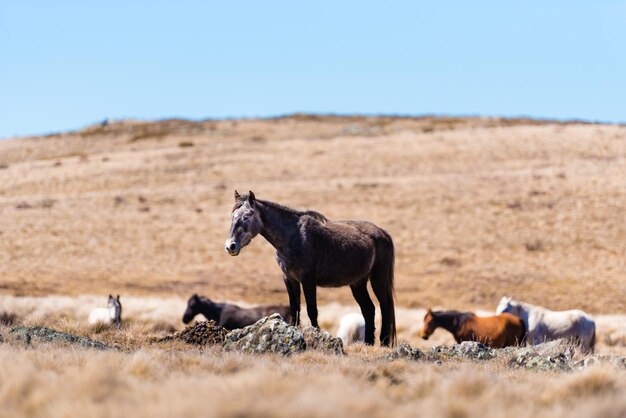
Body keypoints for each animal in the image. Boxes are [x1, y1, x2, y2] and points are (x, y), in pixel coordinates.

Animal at [224, 190, 394, 346]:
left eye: (246, 216)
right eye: (232, 217)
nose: (230, 246)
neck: (294, 236)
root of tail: (382, 233)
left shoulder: (308, 281)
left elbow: (312, 310)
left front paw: (316, 336)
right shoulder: (290, 279)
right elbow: (295, 308)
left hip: (378, 279)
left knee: (384, 307)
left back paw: (384, 343)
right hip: (358, 283)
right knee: (369, 309)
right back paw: (368, 343)